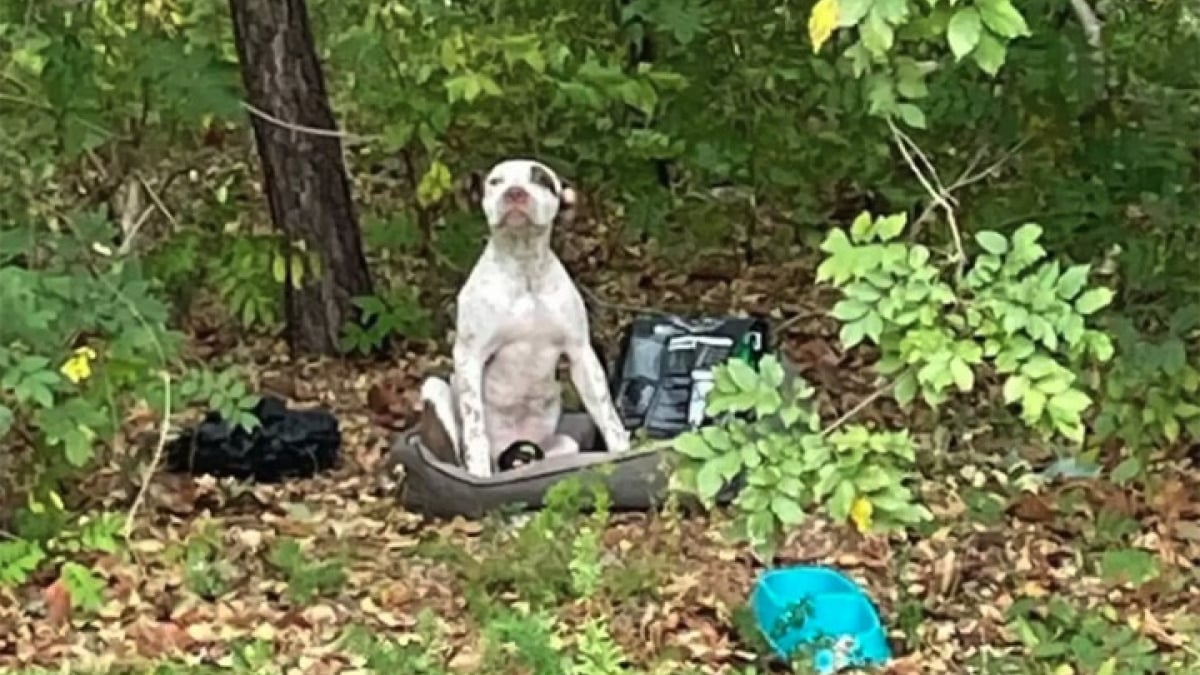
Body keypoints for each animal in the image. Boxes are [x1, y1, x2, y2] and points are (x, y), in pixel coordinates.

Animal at [420, 157, 633, 475]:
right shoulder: (469, 355)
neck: (525, 270)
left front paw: (623, 452)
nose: (515, 193)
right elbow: (475, 428)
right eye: (495, 182)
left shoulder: (581, 354)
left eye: (541, 180)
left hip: (562, 445)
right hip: (434, 390)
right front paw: (479, 473)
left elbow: (608, 416)